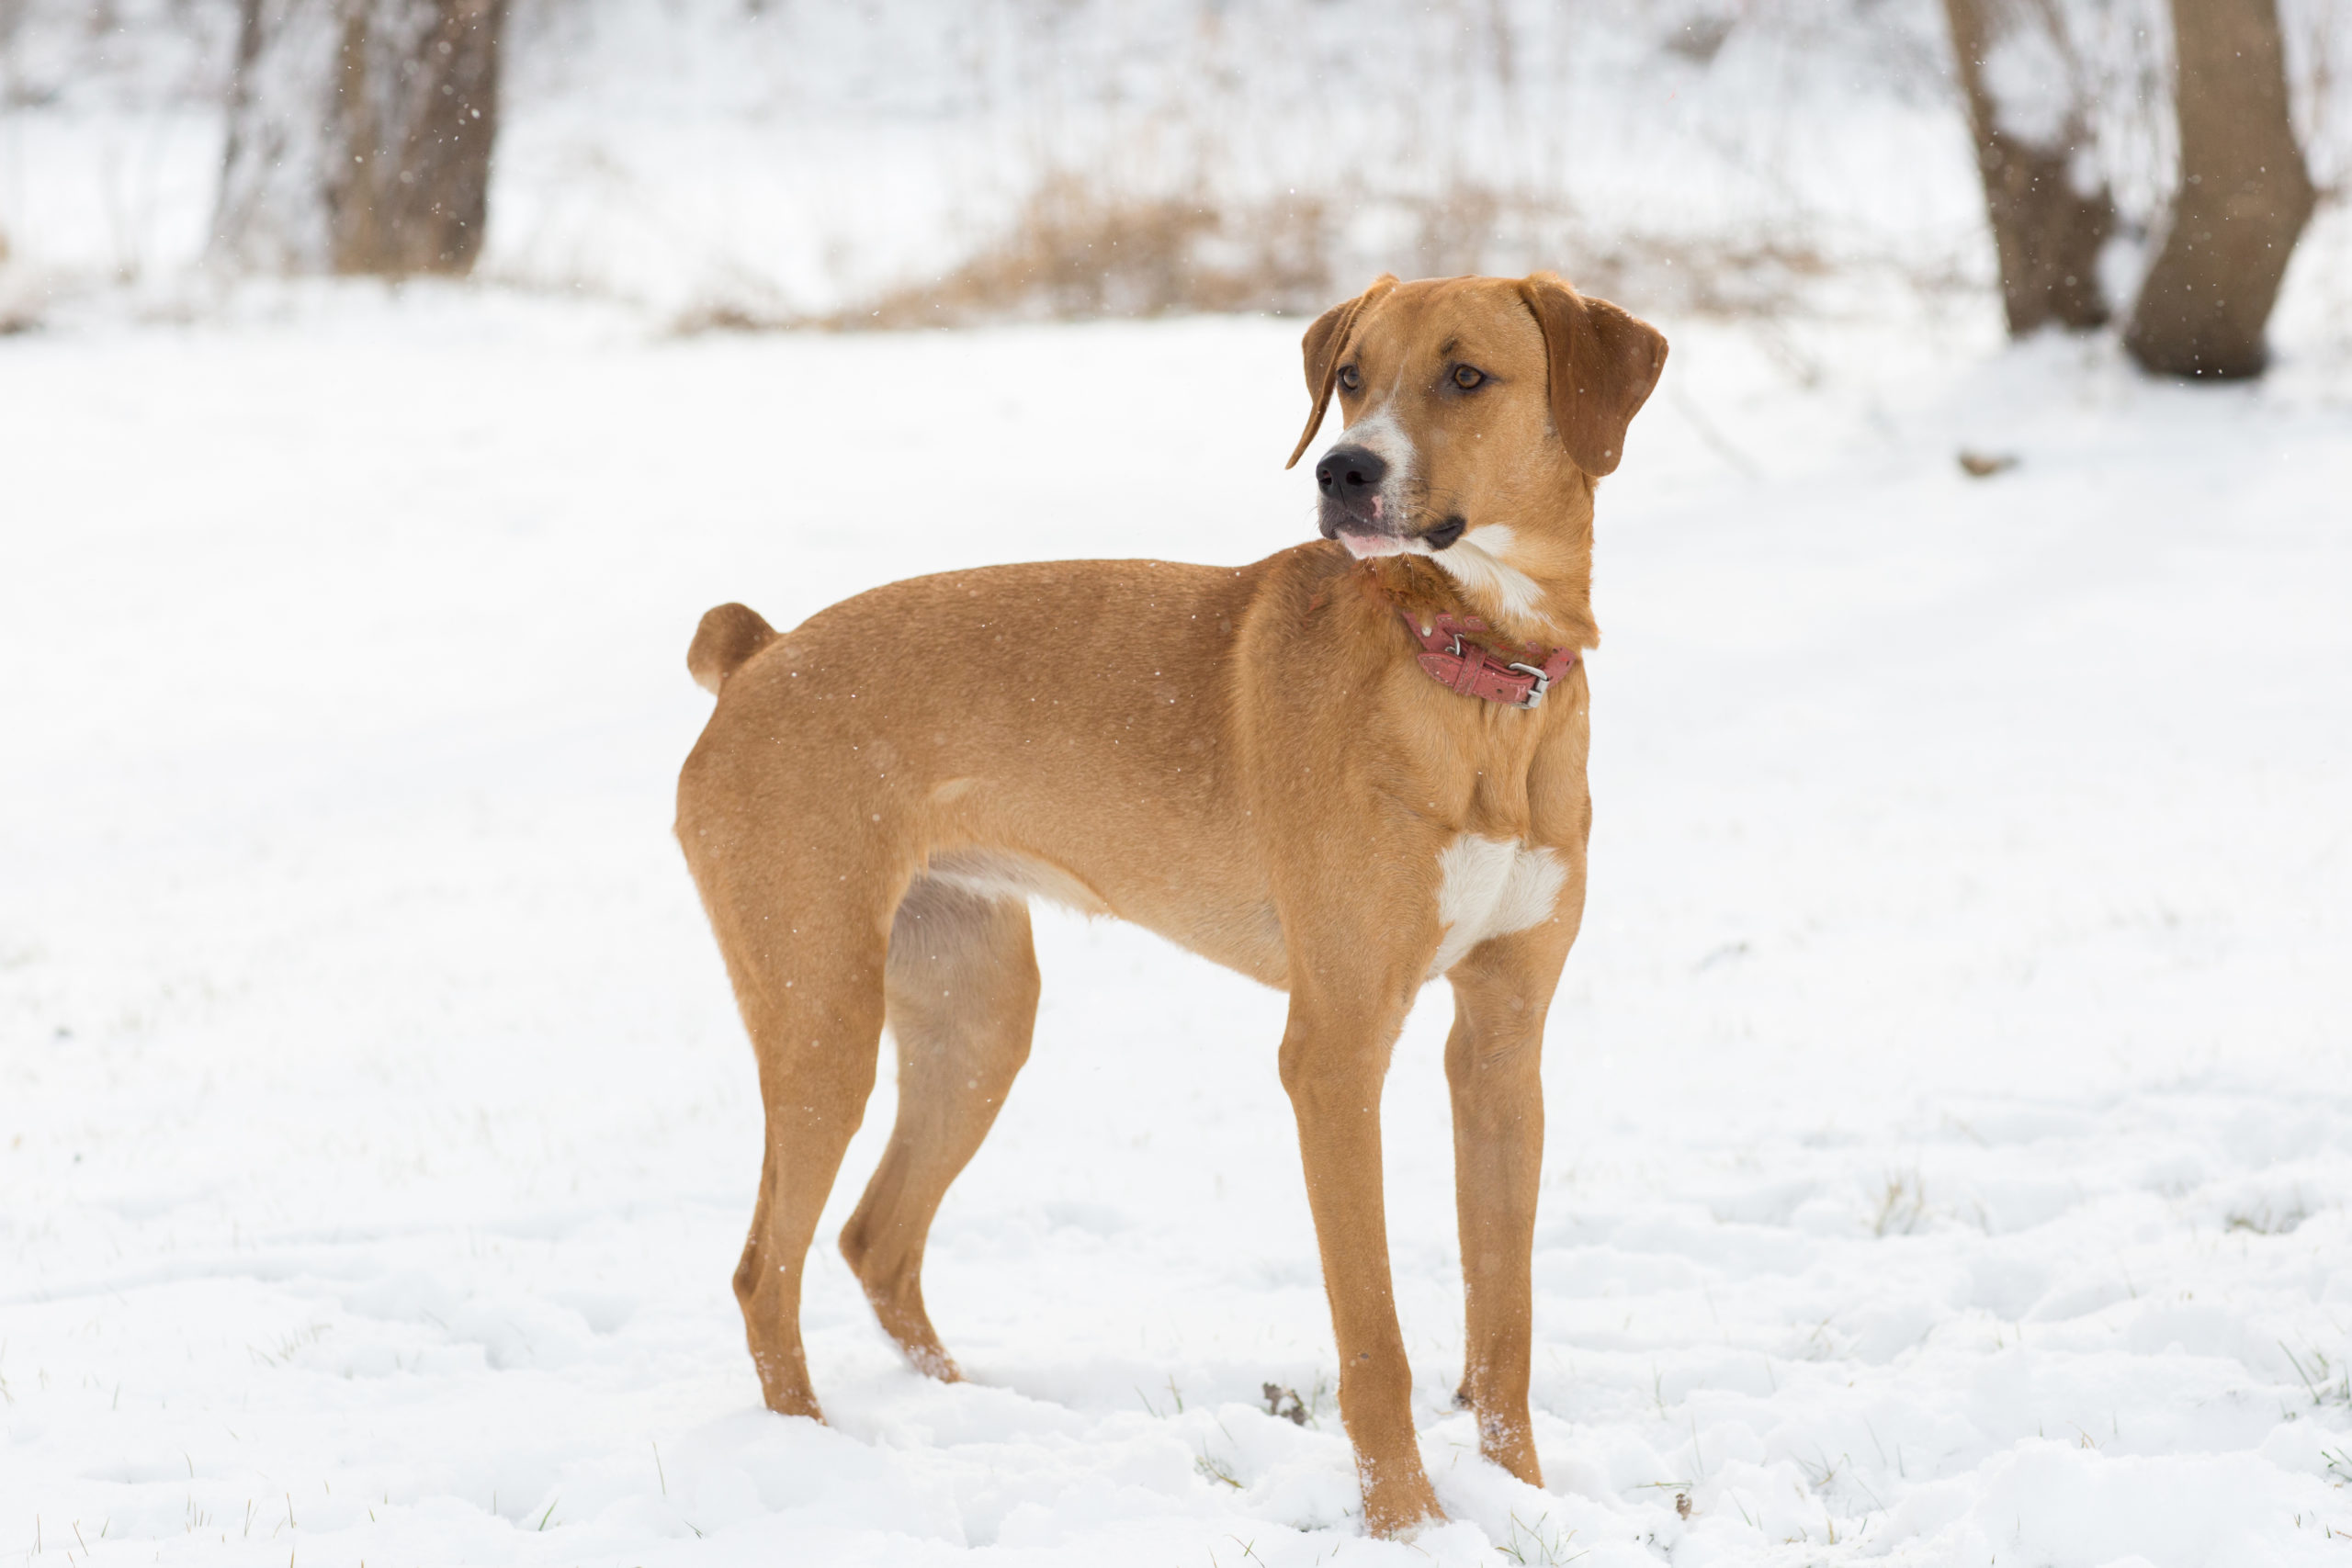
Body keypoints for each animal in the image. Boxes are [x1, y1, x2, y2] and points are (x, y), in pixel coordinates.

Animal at [677, 276, 1674, 1541]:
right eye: (1350, 374)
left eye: (1465, 376)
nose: (1342, 470)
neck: (1475, 676)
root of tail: (757, 657)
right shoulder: (1335, 1049)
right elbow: (1375, 1339)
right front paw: (1406, 1525)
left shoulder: (1500, 1045)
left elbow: (1504, 1330)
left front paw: (1525, 1507)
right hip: (823, 1021)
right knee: (768, 1269)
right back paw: (817, 1463)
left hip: (976, 1019)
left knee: (875, 1239)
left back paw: (977, 1415)